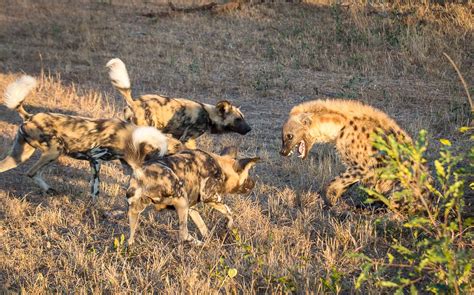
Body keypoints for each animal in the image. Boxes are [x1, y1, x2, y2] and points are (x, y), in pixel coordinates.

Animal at [0, 76, 183, 200]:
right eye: (176, 146)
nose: (185, 149)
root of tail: (29, 116)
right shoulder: (95, 158)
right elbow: (96, 186)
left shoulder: (113, 164)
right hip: (54, 152)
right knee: (32, 172)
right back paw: (48, 189)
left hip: (20, 156)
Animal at [106, 57, 252, 147]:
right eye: (238, 119)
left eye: (243, 117)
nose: (250, 129)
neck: (209, 115)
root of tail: (134, 102)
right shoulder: (188, 139)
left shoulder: (177, 135)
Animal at [125, 145, 260, 246]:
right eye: (247, 176)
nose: (254, 183)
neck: (221, 167)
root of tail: (142, 175)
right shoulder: (210, 197)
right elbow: (229, 212)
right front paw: (227, 226)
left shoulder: (191, 208)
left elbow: (203, 226)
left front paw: (211, 239)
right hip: (181, 199)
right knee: (183, 234)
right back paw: (199, 243)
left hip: (136, 211)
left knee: (129, 238)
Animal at [280, 99, 412, 206]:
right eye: (282, 137)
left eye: (289, 136)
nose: (282, 152)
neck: (338, 126)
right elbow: (345, 182)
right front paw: (332, 200)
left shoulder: (364, 166)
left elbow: (336, 182)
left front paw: (328, 200)